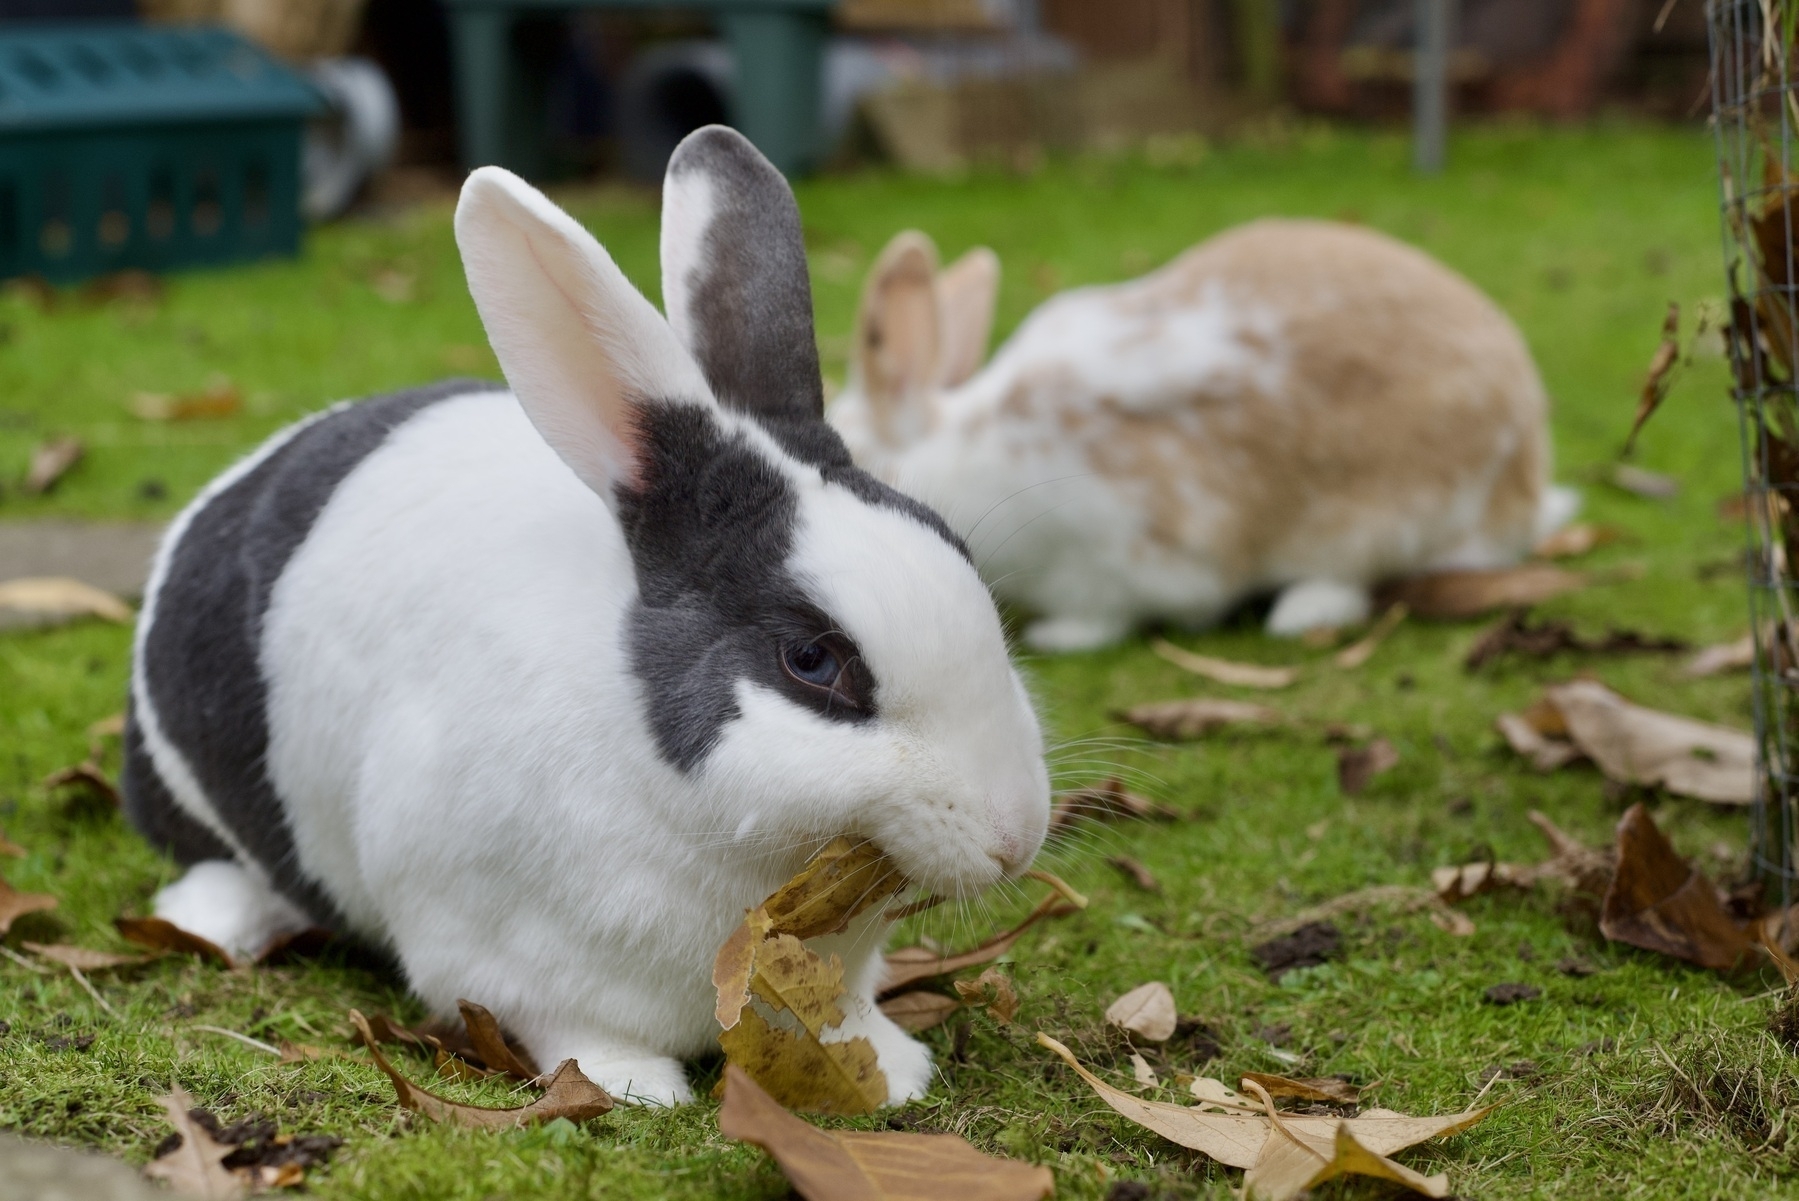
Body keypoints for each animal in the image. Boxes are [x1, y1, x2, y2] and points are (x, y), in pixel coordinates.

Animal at [123, 129, 1050, 1107]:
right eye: (810, 659)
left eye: (958, 549)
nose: (1015, 836)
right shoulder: (506, 955)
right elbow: (576, 1030)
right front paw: (637, 1087)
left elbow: (842, 1016)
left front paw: (896, 1071)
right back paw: (216, 921)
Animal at [827, 215, 1575, 647]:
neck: (960, 449)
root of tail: (1527, 477)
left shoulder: (1116, 556)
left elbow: (1106, 613)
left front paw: (1056, 638)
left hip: (1386, 519)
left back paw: (1299, 612)